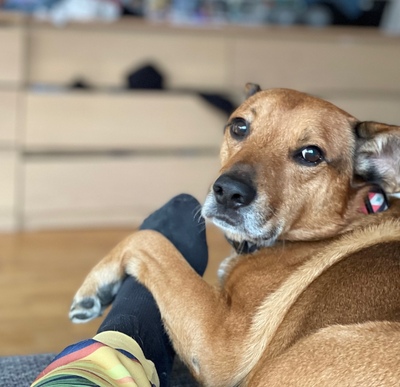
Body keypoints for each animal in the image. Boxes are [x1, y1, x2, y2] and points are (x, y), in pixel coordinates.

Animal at [69, 85, 400, 387]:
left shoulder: (222, 343)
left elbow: (150, 239)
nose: (228, 192)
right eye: (239, 127)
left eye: (310, 154)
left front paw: (93, 286)